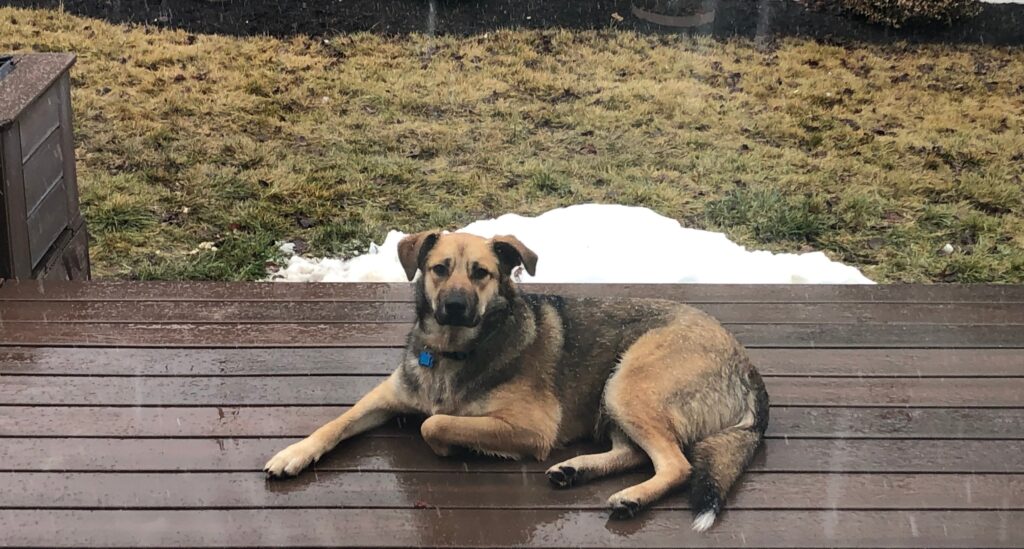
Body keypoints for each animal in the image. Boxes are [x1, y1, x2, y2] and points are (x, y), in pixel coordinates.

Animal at [264, 230, 770, 532]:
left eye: (482, 274)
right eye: (439, 268)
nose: (454, 307)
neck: (453, 350)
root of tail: (745, 361)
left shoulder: (531, 427)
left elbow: (434, 423)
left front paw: (453, 445)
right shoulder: (388, 395)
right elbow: (337, 422)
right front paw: (294, 453)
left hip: (628, 384)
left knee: (676, 465)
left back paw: (630, 497)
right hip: (615, 398)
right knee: (633, 452)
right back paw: (577, 470)